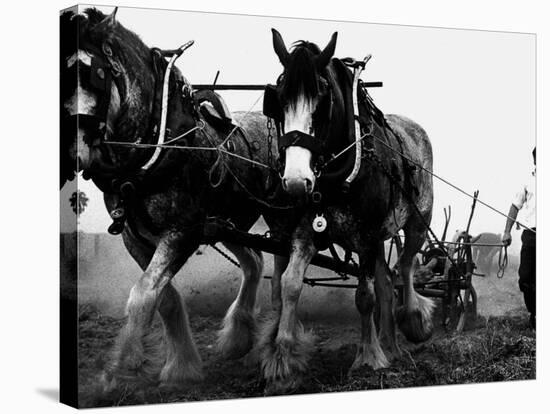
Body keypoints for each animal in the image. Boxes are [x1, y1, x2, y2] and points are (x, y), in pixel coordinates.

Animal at [61, 8, 276, 392]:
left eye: (95, 74)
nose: (75, 154)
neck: (158, 145)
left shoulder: (182, 232)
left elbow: (143, 294)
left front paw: (115, 373)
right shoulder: (135, 236)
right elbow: (165, 298)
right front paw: (182, 367)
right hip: (226, 222)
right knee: (254, 261)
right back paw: (238, 337)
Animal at [260, 30, 438, 392]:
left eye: (322, 99)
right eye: (279, 98)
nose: (296, 180)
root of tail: (414, 127)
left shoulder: (366, 236)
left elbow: (364, 296)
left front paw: (368, 358)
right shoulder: (306, 232)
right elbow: (289, 285)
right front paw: (282, 360)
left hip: (417, 220)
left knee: (405, 267)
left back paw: (413, 319)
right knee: (387, 281)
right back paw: (391, 345)